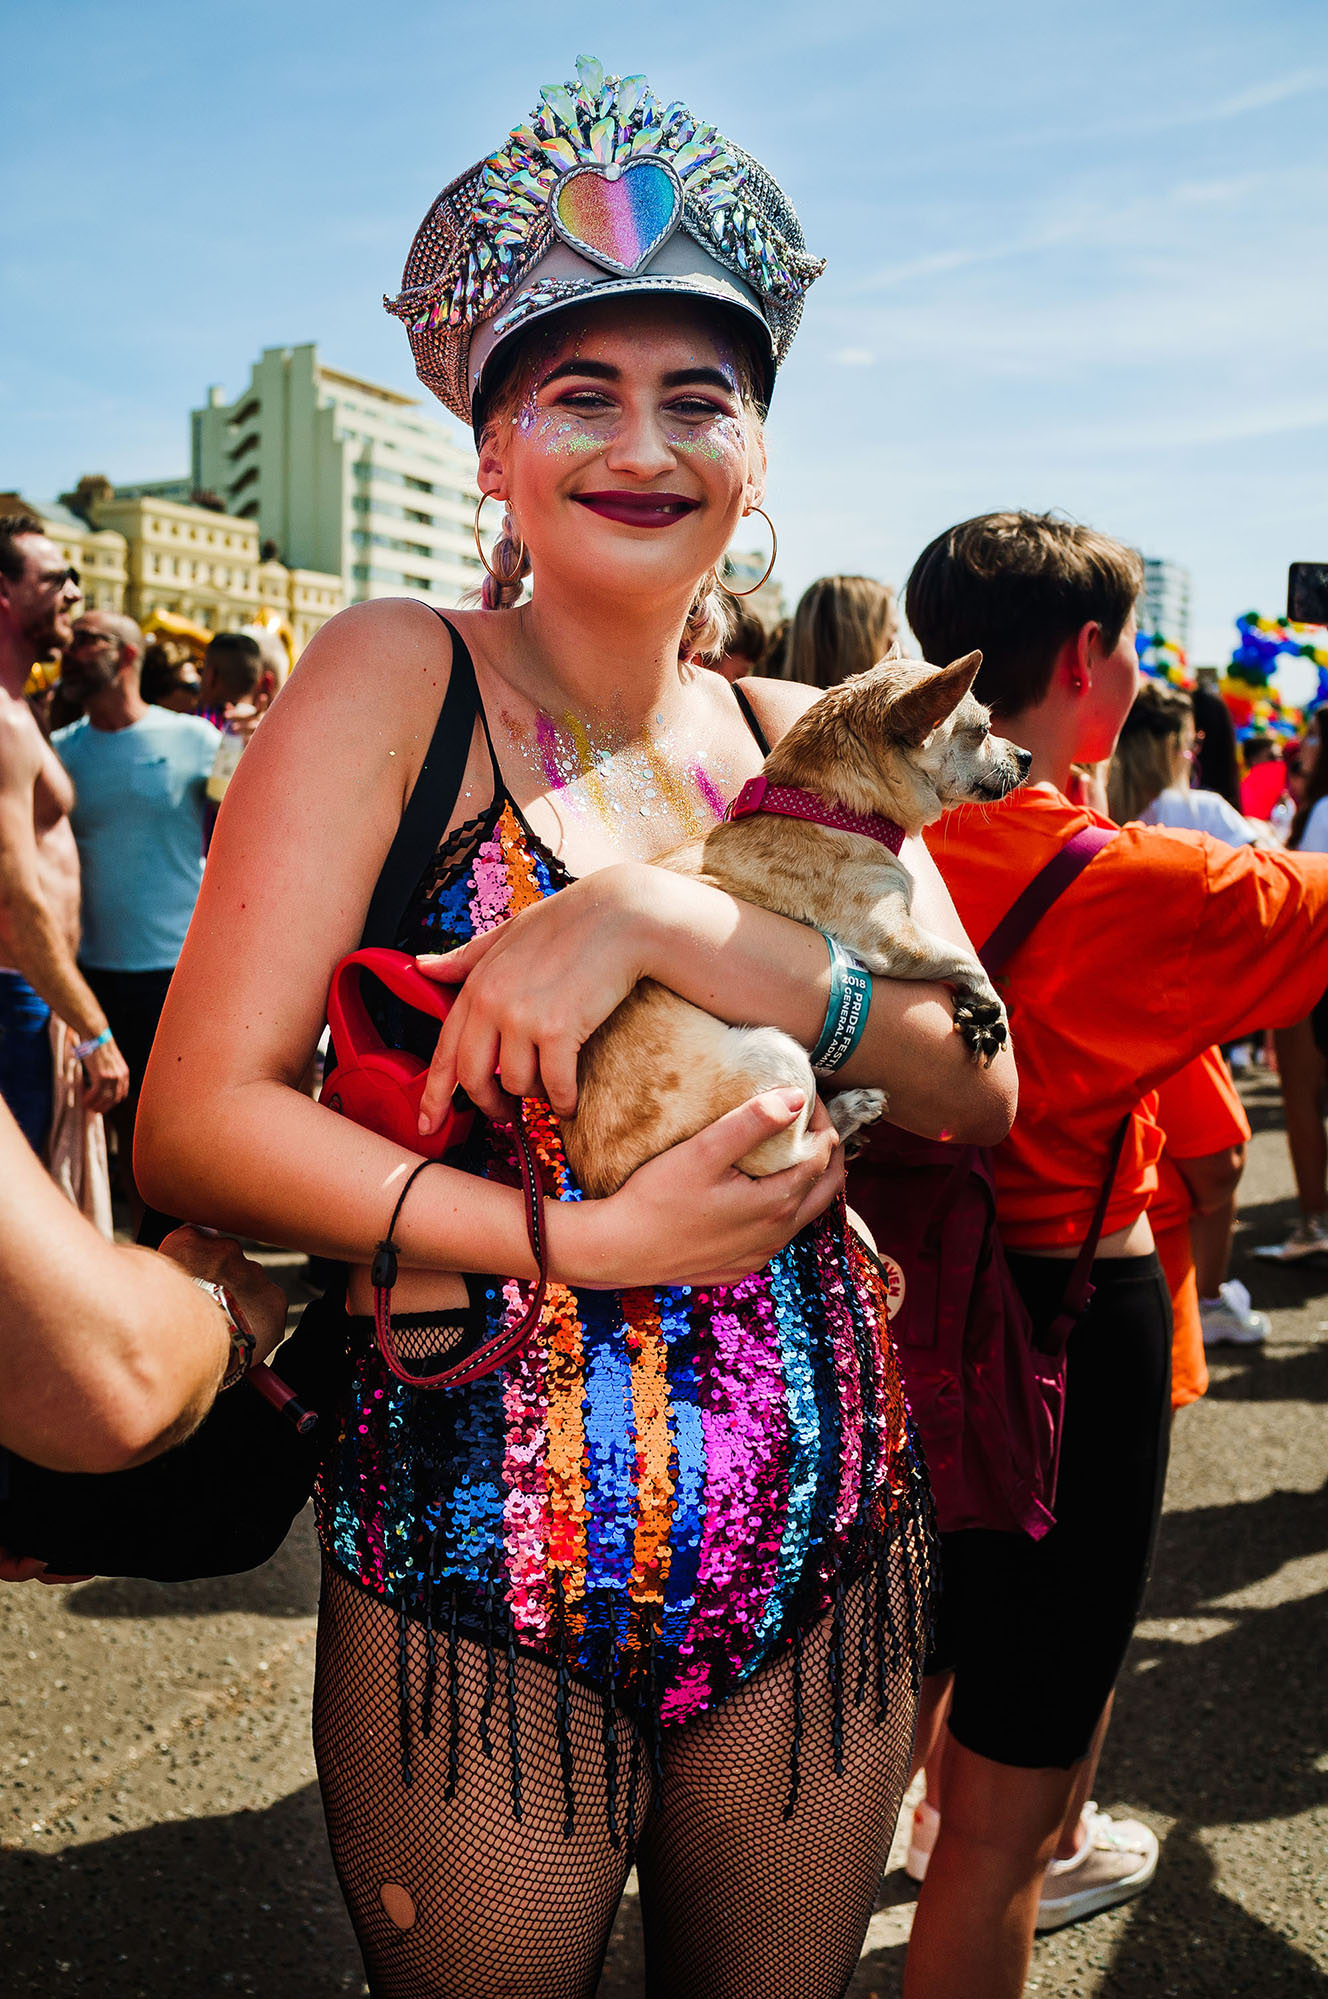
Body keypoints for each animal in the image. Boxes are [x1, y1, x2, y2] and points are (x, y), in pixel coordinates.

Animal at [560, 647, 1024, 1191]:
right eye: (982, 730)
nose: (1026, 757)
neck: (822, 809)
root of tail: (605, 1179)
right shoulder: (892, 938)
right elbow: (964, 960)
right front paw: (991, 1010)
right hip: (777, 1056)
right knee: (794, 1154)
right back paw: (844, 1114)